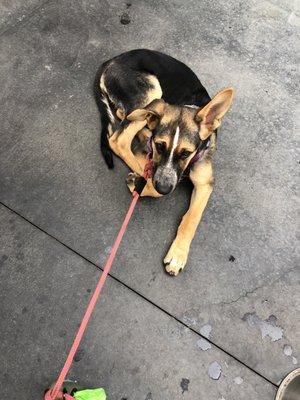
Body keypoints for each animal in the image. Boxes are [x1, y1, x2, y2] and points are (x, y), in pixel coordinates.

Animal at [94, 48, 234, 276]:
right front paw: (145, 183)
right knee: (119, 139)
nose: (163, 186)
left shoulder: (205, 183)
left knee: (123, 121)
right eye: (160, 146)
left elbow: (192, 217)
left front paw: (178, 255)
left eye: (186, 153)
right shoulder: (151, 156)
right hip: (151, 94)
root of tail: (111, 61)